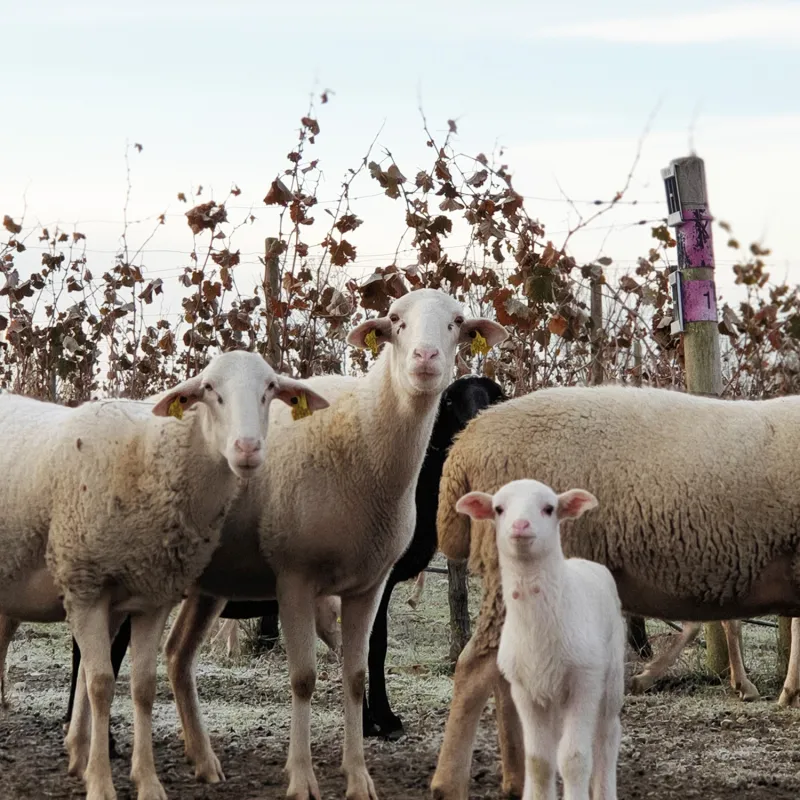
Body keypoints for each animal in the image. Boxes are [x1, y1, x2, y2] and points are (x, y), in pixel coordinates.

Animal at [0, 351, 328, 800]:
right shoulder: (84, 586)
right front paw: (100, 782)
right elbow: (100, 684)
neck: (150, 456)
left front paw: (147, 781)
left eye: (270, 389)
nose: (247, 448)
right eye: (209, 390)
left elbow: (142, 687)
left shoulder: (152, 597)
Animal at [161, 288, 508, 800]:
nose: (425, 358)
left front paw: (360, 772)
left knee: (177, 656)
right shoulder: (297, 579)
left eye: (457, 323)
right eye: (396, 321)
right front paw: (305, 776)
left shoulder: (369, 581)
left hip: (205, 586)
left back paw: (202, 760)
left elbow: (355, 671)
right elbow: (306, 677)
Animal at [456, 479, 625, 800]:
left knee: (607, 737)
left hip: (611, 677)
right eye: (499, 509)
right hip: (551, 695)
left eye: (549, 508)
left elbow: (574, 758)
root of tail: (585, 562)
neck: (538, 631)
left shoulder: (584, 681)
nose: (520, 525)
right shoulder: (524, 689)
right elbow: (538, 761)